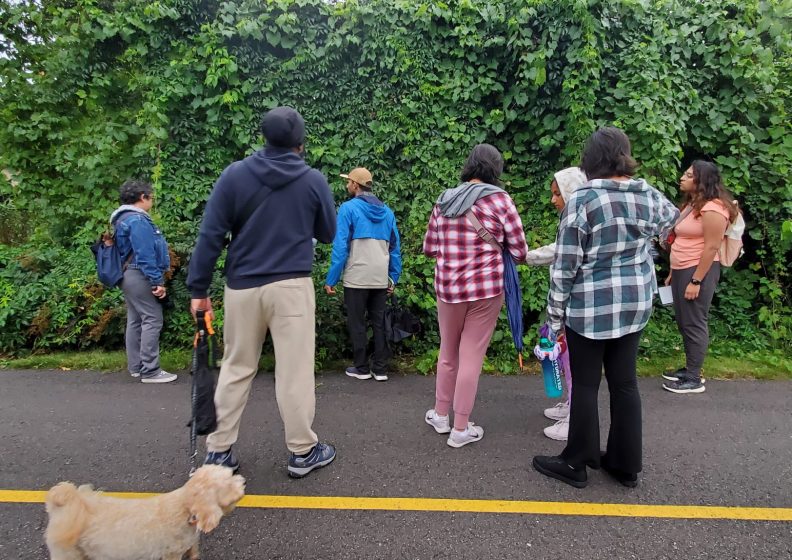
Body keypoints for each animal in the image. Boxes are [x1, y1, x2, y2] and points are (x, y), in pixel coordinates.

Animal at [43, 466, 246, 560]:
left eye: (230, 474)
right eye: (227, 485)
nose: (242, 483)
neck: (183, 509)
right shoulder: (171, 552)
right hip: (67, 553)